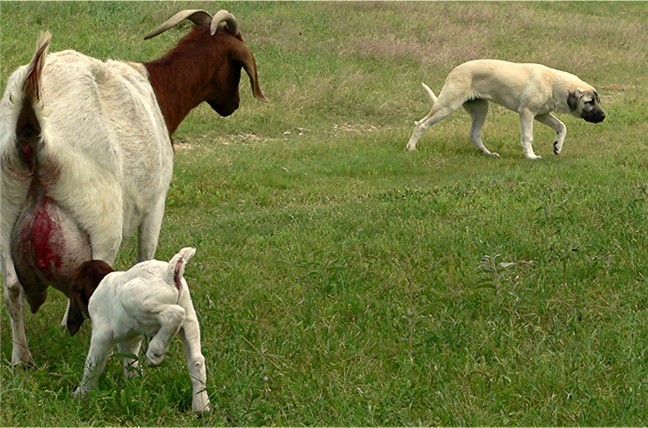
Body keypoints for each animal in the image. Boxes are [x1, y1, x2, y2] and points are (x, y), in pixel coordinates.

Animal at [0, 9, 268, 364]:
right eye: (236, 67)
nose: (233, 104)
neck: (158, 91)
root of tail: (31, 125)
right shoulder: (156, 201)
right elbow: (146, 254)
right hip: (102, 222)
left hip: (4, 210)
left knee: (13, 287)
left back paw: (22, 359)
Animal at [408, 59, 604, 159]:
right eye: (589, 102)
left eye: (597, 100)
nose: (603, 116)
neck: (554, 83)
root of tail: (453, 71)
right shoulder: (527, 113)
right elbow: (528, 137)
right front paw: (531, 156)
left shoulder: (542, 114)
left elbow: (562, 127)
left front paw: (557, 146)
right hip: (447, 106)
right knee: (421, 124)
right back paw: (411, 148)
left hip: (481, 110)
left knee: (474, 134)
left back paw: (488, 153)